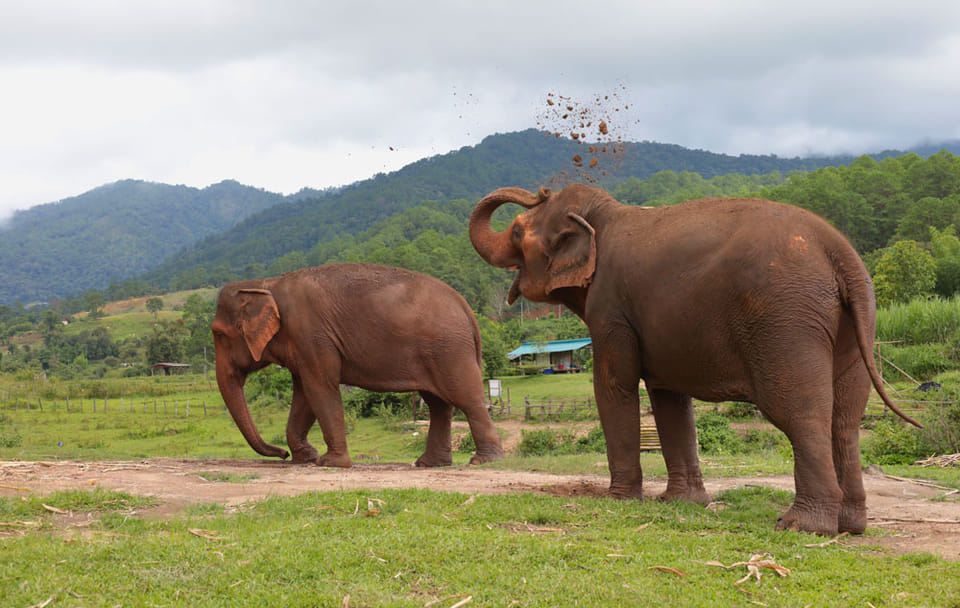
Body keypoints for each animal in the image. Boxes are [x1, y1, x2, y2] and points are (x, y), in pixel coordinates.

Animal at [211, 263, 504, 468]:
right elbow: (304, 394)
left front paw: (330, 463)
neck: (267, 283)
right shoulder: (304, 345)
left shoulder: (312, 335)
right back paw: (429, 464)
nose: (280, 454)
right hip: (439, 351)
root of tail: (467, 308)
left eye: (218, 334)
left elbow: (320, 388)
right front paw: (306, 458)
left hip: (449, 351)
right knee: (438, 404)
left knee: (465, 398)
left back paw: (483, 461)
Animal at [469, 183, 920, 536]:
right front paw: (682, 504)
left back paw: (800, 526)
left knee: (800, 413)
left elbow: (613, 386)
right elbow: (669, 398)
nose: (540, 190)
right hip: (854, 325)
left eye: (517, 231)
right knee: (846, 419)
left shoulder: (610, 308)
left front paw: (619, 501)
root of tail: (839, 251)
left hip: (786, 322)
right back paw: (851, 526)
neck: (604, 215)